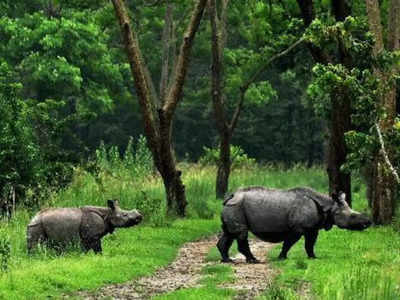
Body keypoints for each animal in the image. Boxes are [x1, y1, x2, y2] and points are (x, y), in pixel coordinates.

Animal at [219, 186, 372, 262]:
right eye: (352, 216)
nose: (368, 223)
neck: (329, 207)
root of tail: (230, 196)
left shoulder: (312, 228)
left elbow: (310, 244)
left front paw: (313, 258)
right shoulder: (298, 228)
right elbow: (288, 243)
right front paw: (282, 258)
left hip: (232, 207)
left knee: (229, 233)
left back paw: (227, 260)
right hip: (236, 206)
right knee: (241, 233)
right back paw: (253, 260)